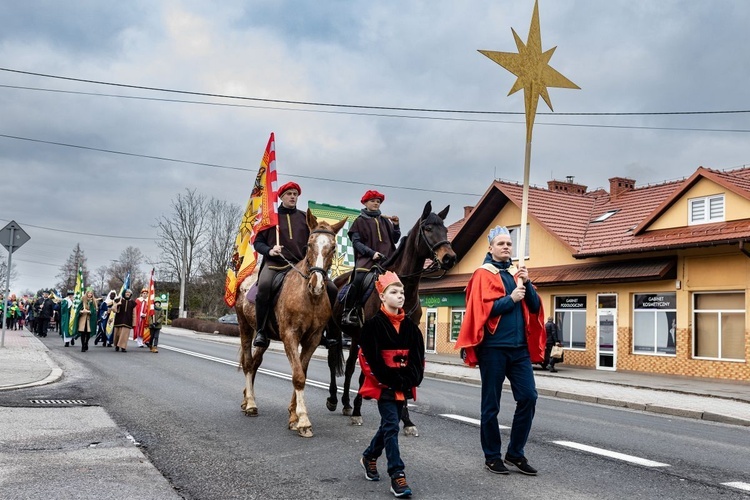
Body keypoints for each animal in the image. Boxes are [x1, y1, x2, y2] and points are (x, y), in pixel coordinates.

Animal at [236, 211, 348, 438]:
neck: (309, 297)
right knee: (248, 364)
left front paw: (294, 417)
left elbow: (302, 372)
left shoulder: (312, 339)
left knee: (255, 363)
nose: (317, 284)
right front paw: (303, 421)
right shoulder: (290, 335)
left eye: (333, 247)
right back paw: (251, 403)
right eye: (309, 244)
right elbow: (298, 376)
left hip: (264, 336)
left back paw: (246, 400)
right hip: (245, 327)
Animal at [324, 200, 458, 434]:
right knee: (335, 364)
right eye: (428, 228)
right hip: (336, 330)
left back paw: (346, 404)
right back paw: (334, 399)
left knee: (349, 367)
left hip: (355, 337)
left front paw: (407, 421)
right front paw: (358, 411)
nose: (449, 258)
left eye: (443, 228)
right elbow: (366, 374)